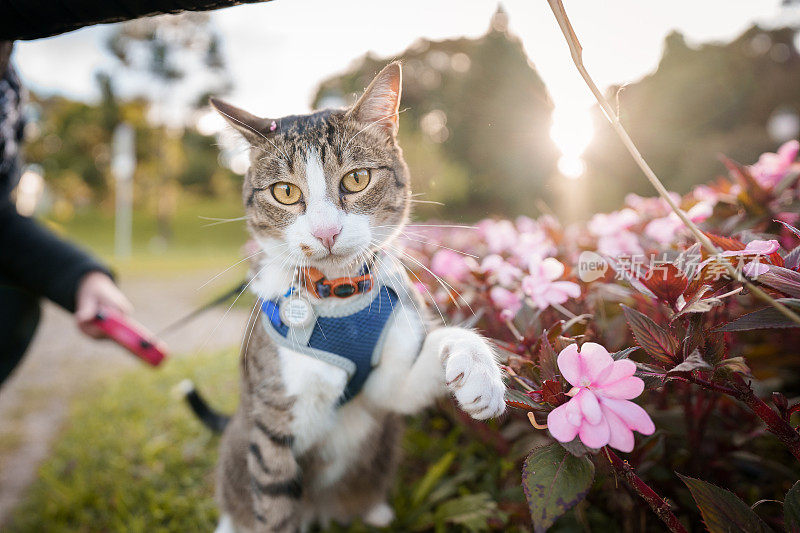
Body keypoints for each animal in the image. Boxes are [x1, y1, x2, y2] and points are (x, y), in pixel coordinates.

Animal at [195, 63, 506, 532]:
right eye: (285, 192)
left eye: (357, 179)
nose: (326, 232)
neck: (339, 296)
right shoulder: (277, 417)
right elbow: (275, 499)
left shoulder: (386, 387)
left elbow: (417, 369)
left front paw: (478, 371)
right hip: (237, 448)